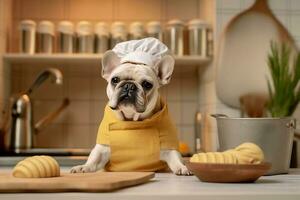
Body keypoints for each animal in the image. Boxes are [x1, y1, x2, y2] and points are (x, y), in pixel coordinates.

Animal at [71, 44, 190, 175]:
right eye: (115, 80)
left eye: (147, 84)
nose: (129, 85)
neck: (132, 120)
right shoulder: (103, 148)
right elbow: (94, 159)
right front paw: (84, 167)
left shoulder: (168, 147)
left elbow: (175, 157)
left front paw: (182, 167)